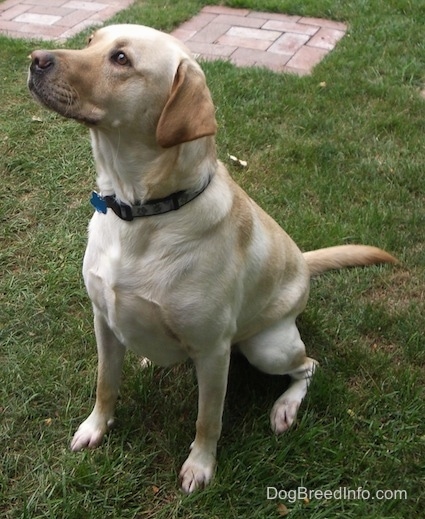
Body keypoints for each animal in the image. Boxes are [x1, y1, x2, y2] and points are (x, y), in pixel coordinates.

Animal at [28, 25, 396, 496]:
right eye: (92, 41)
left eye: (122, 59)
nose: (35, 59)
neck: (143, 213)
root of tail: (302, 261)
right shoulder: (103, 321)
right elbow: (105, 383)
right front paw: (95, 427)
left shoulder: (214, 350)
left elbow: (209, 419)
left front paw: (200, 466)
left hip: (266, 346)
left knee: (309, 366)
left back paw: (285, 407)